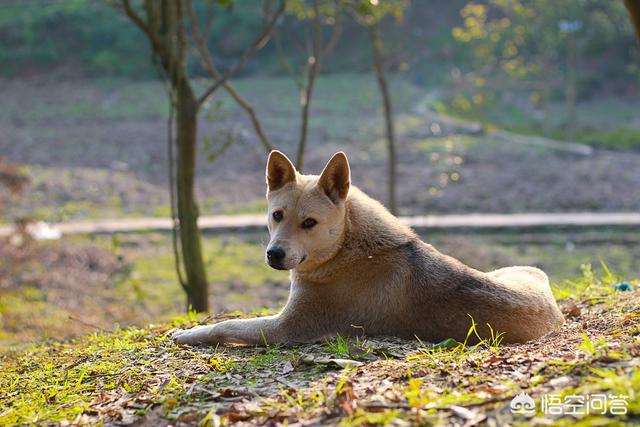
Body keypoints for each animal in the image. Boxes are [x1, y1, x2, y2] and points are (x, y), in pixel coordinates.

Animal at [172, 152, 564, 346]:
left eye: (309, 223)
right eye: (277, 215)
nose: (274, 254)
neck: (347, 247)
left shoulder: (286, 328)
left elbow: (225, 325)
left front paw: (187, 334)